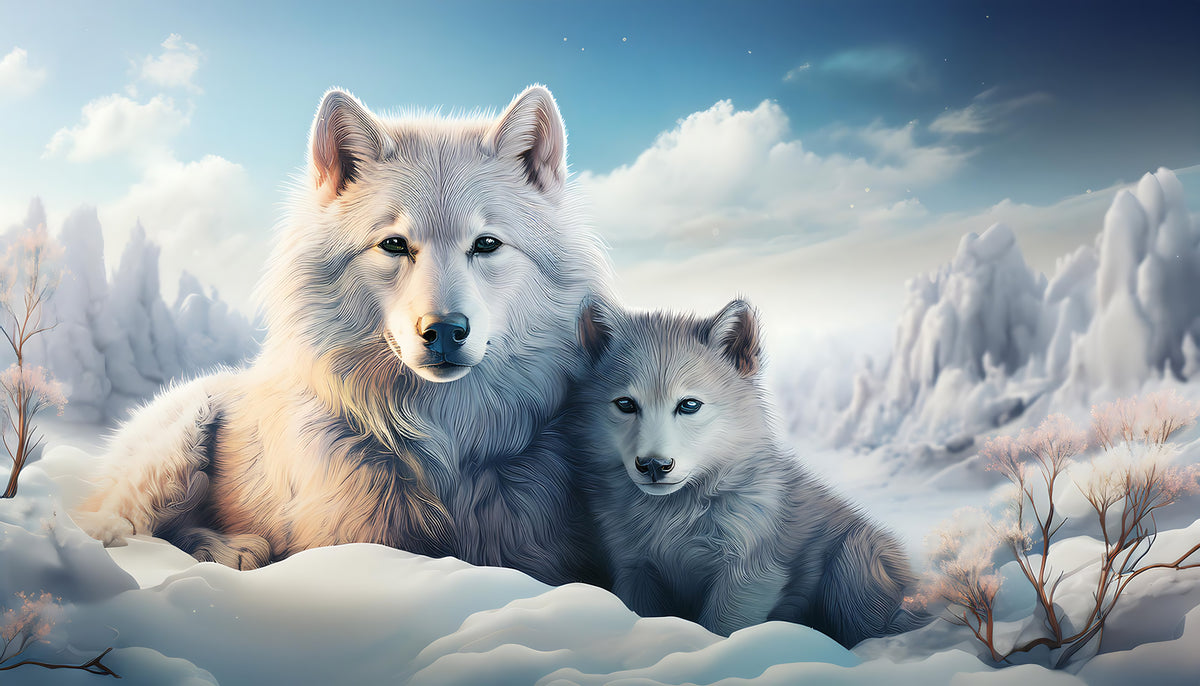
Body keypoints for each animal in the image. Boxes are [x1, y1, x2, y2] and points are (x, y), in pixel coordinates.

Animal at [74, 85, 612, 586]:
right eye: (394, 244)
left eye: (486, 244)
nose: (443, 330)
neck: (446, 451)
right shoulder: (348, 535)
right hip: (182, 436)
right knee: (136, 525)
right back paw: (230, 549)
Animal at [573, 298, 925, 646]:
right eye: (626, 404)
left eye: (689, 405)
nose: (654, 466)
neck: (673, 518)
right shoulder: (635, 569)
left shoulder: (750, 576)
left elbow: (720, 630)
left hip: (853, 559)